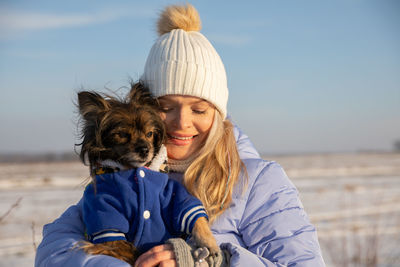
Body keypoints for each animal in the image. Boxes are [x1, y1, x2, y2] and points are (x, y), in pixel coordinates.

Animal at [76, 82, 219, 266]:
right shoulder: (107, 220)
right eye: (122, 135)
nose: (145, 149)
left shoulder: (172, 196)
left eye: (150, 134)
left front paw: (209, 242)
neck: (134, 170)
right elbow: (126, 250)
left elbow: (193, 215)